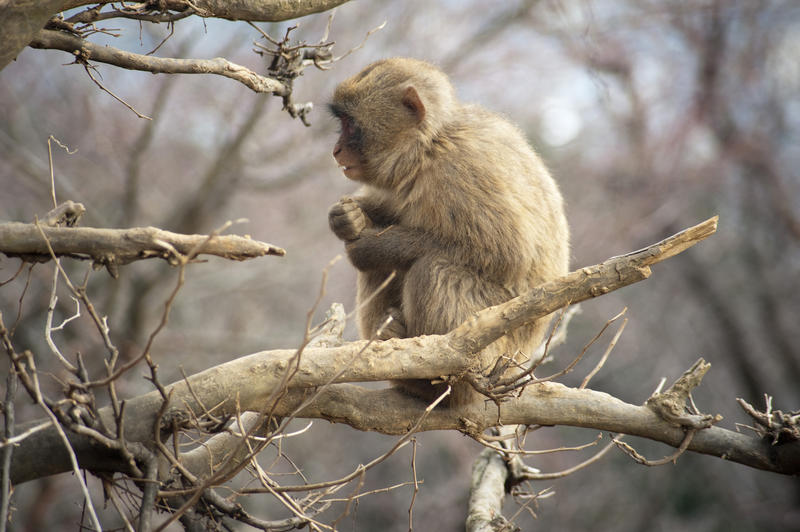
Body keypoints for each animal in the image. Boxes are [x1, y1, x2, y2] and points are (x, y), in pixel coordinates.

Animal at [326, 58, 568, 406]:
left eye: (350, 124)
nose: (336, 149)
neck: (430, 144)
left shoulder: (463, 169)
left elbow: (506, 252)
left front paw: (369, 245)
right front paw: (347, 217)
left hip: (496, 350)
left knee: (433, 269)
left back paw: (436, 382)